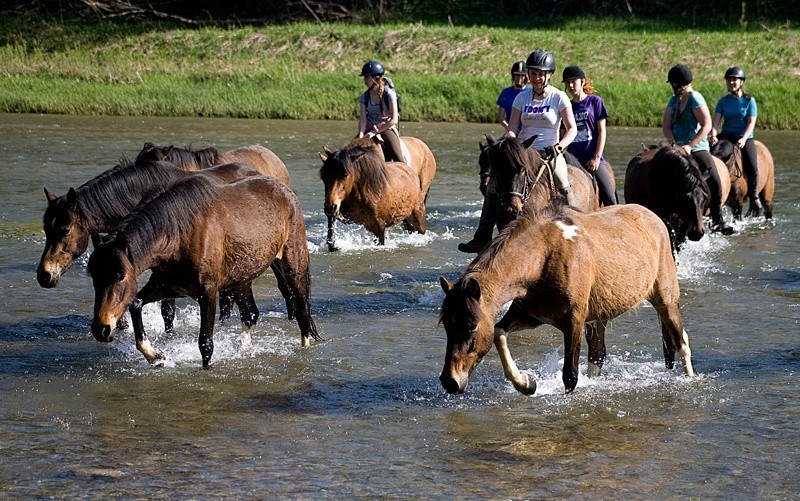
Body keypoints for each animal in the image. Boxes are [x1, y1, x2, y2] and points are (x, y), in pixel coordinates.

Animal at [86, 175, 318, 368]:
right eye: (94, 277)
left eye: (120, 276)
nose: (101, 329)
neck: (179, 233)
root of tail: (285, 191)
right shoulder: (169, 286)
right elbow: (135, 303)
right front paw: (155, 356)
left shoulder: (208, 293)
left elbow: (206, 344)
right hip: (242, 278)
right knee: (250, 315)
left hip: (293, 265)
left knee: (302, 310)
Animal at [438, 199, 692, 394]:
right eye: (447, 325)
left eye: (472, 326)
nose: (450, 381)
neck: (544, 257)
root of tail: (654, 218)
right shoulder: (530, 316)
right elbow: (499, 332)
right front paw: (526, 383)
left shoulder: (574, 322)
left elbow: (570, 376)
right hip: (599, 317)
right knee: (597, 356)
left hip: (666, 299)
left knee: (681, 342)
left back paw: (689, 378)